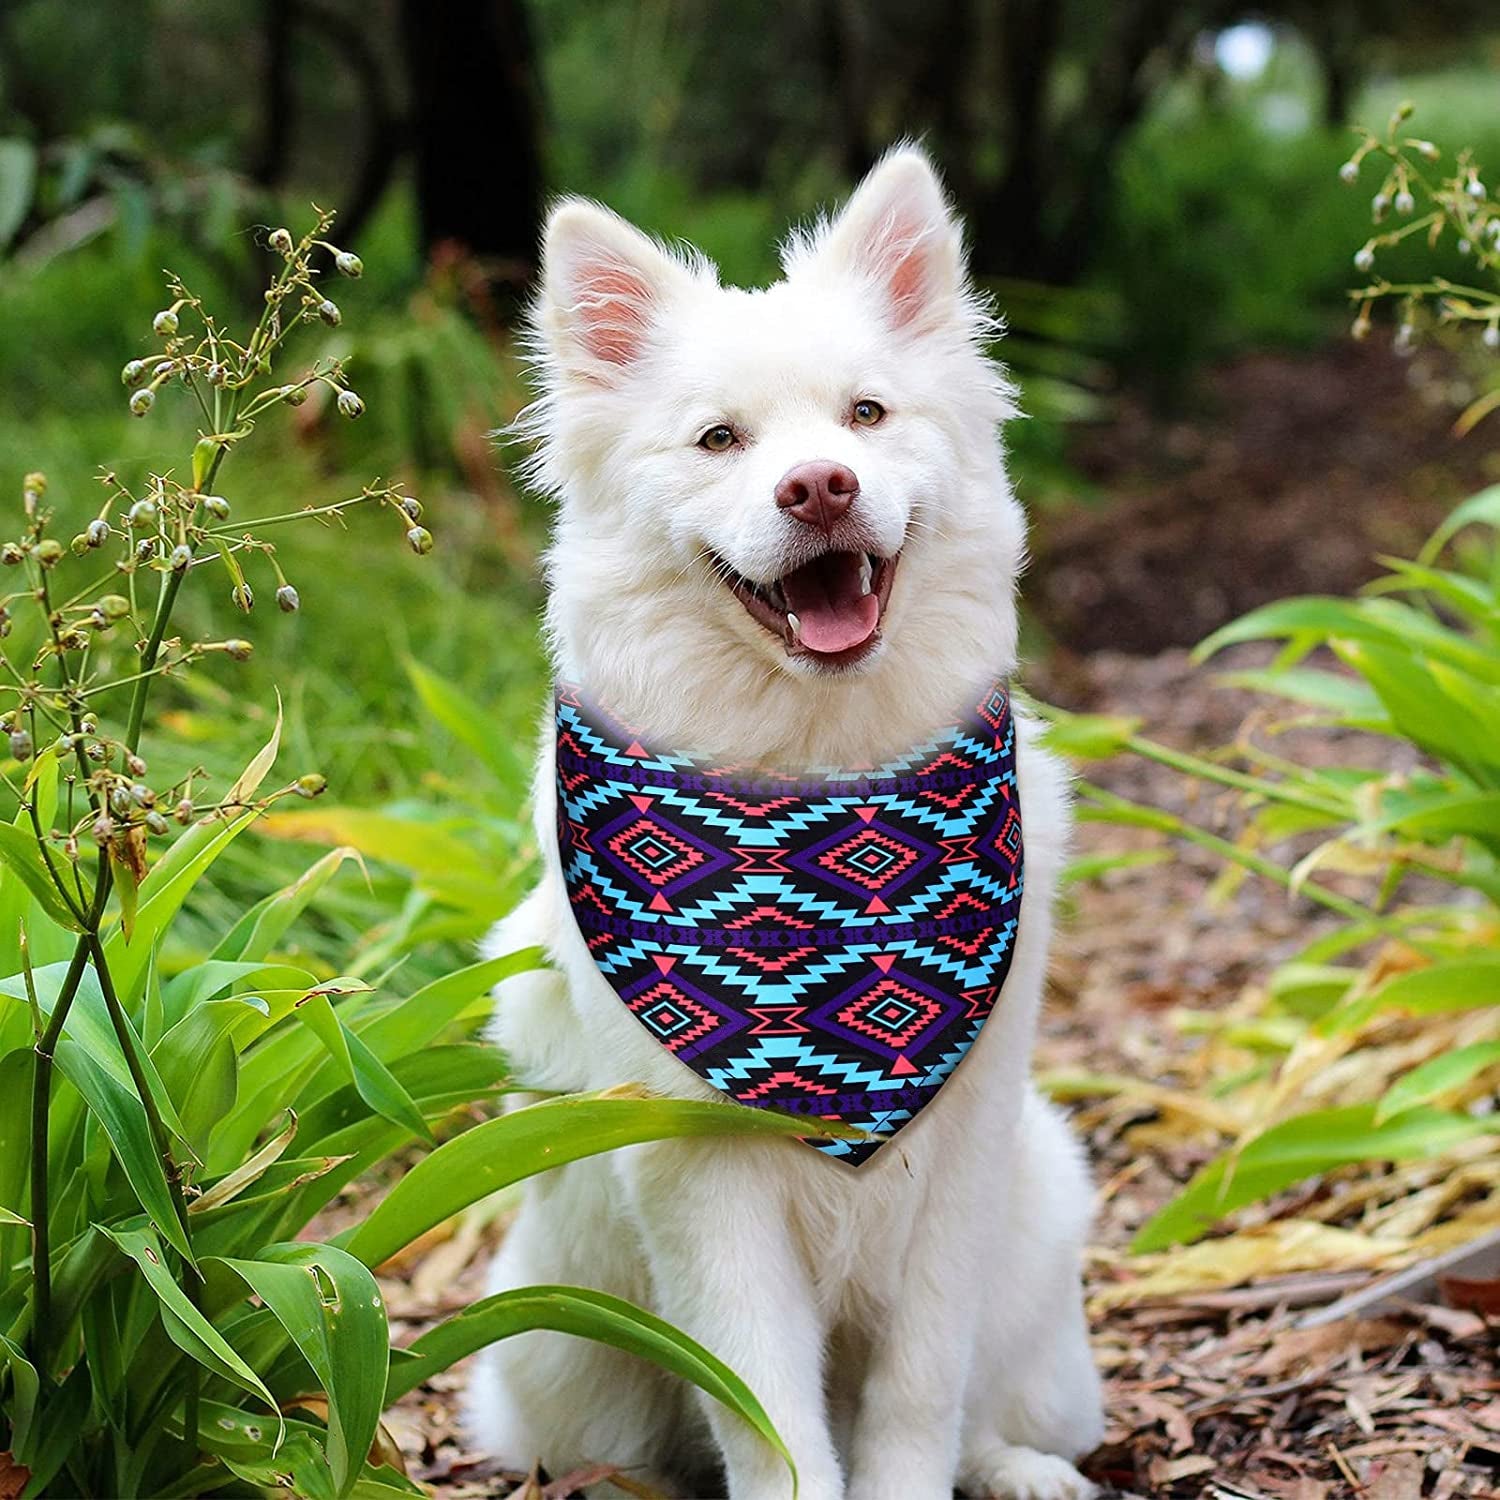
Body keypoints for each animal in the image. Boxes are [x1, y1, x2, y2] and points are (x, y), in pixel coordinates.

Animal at [465, 143, 1104, 1500]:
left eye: (865, 416)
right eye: (720, 440)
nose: (819, 488)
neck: (821, 795)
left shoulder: (959, 1162)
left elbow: (920, 1393)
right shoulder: (703, 1182)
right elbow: (765, 1412)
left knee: (991, 1410)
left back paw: (1020, 1468)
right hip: (559, 1346)